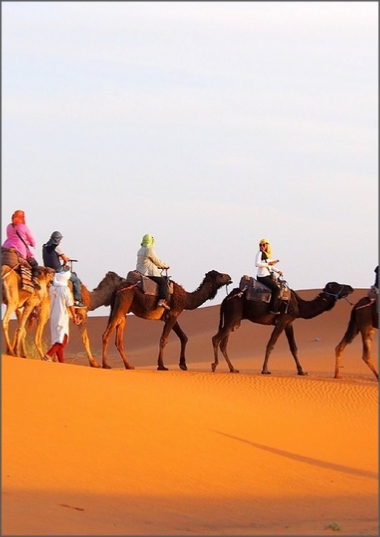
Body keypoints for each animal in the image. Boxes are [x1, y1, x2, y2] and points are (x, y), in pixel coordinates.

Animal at [101, 270, 232, 370]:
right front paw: (161, 366)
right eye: (221, 275)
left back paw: (128, 365)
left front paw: (183, 365)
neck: (186, 299)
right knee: (106, 334)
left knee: (118, 338)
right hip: (123, 302)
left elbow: (184, 337)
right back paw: (105, 365)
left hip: (120, 309)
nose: (229, 277)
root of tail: (117, 290)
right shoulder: (173, 315)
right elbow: (164, 339)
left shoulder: (170, 316)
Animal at [211, 280, 354, 372]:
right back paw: (214, 365)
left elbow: (293, 347)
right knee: (216, 338)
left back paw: (233, 368)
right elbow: (271, 344)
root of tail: (226, 298)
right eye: (337, 286)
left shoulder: (289, 322)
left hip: (232, 318)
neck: (299, 305)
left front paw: (301, 371)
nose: (351, 287)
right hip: (234, 314)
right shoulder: (282, 320)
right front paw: (265, 369)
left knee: (224, 343)